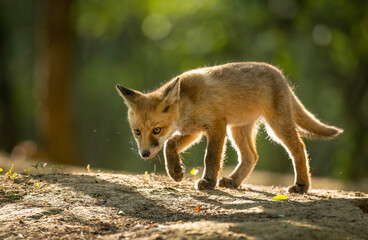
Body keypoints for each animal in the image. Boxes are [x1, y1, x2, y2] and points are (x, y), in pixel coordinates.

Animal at [115, 61, 342, 193]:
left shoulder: (216, 125)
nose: (144, 154)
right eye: (137, 132)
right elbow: (170, 145)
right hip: (238, 130)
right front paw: (176, 172)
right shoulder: (194, 131)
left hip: (276, 126)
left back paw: (302, 186)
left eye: (156, 130)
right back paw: (233, 181)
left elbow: (211, 157)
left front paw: (208, 182)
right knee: (251, 157)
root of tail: (280, 74)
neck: (188, 103)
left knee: (298, 148)